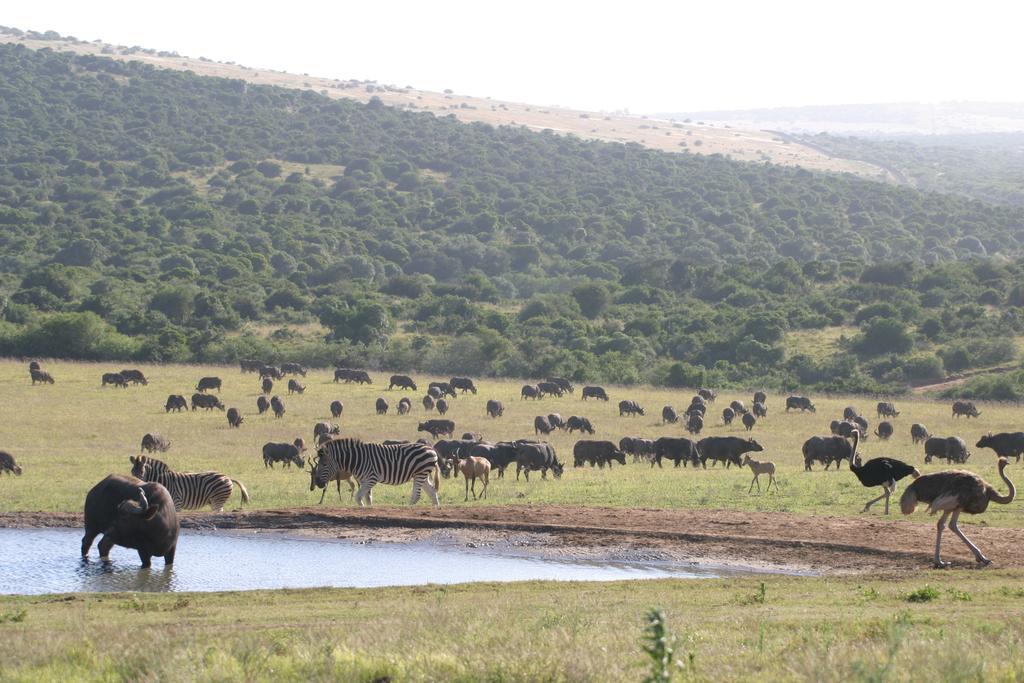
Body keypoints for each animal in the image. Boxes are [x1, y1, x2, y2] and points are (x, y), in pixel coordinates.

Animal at [309, 438, 442, 507]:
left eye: (324, 465)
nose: (318, 484)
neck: (357, 459)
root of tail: (432, 449)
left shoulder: (372, 479)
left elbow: (358, 497)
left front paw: (362, 508)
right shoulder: (364, 480)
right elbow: (368, 498)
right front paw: (368, 508)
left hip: (420, 473)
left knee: (417, 495)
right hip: (421, 475)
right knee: (432, 491)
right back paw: (436, 508)